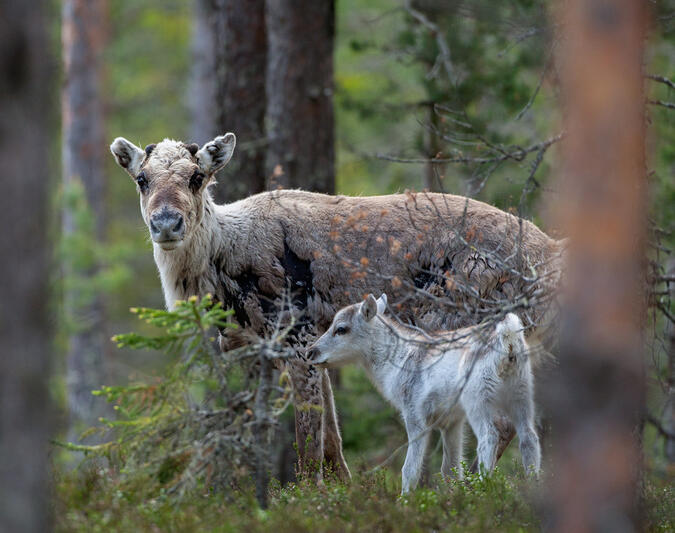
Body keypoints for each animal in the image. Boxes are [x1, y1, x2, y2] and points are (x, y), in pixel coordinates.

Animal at [308, 294, 540, 492]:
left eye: (341, 329)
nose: (310, 352)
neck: (392, 368)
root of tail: (510, 340)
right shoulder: (452, 421)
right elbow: (450, 469)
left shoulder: (414, 414)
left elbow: (410, 469)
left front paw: (404, 499)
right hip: (522, 393)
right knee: (529, 437)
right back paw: (532, 486)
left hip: (477, 398)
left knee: (490, 436)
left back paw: (484, 487)